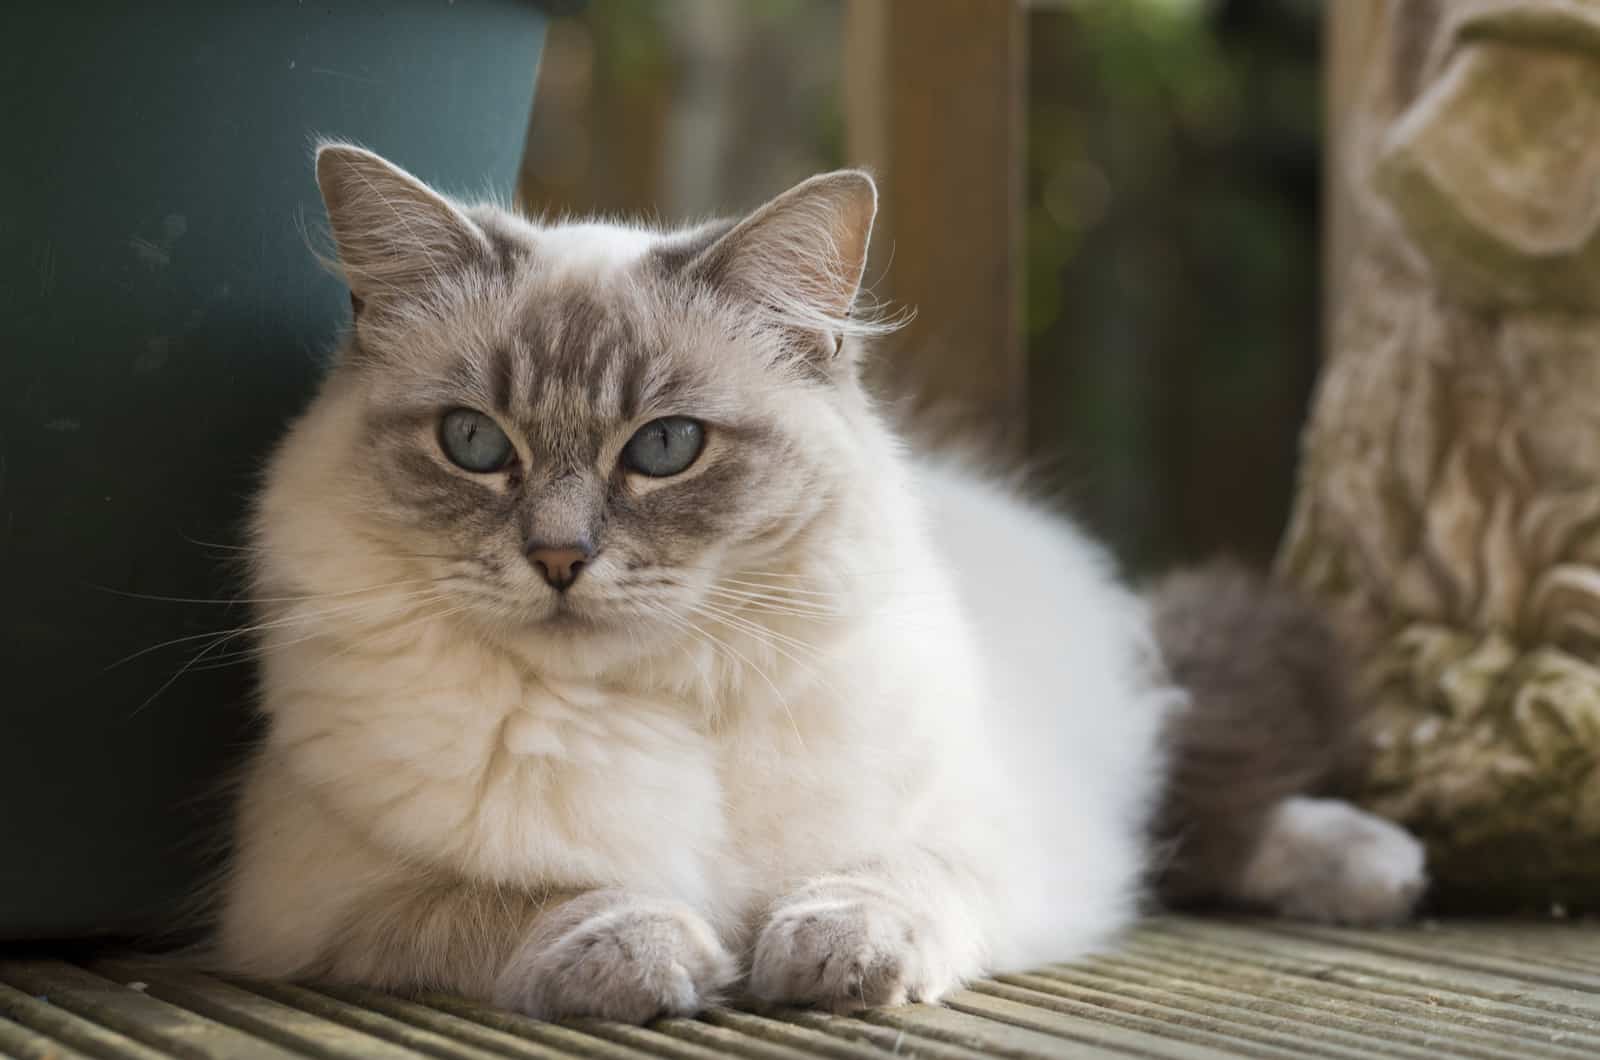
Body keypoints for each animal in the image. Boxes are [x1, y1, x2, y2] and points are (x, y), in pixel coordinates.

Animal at [216, 145, 1427, 1024]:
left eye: (664, 449)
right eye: (473, 443)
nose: (558, 558)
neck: (642, 707)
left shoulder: (983, 835)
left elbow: (889, 879)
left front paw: (829, 955)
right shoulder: (324, 900)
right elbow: (517, 899)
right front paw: (662, 955)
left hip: (1103, 781)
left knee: (1193, 809)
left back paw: (1378, 869)